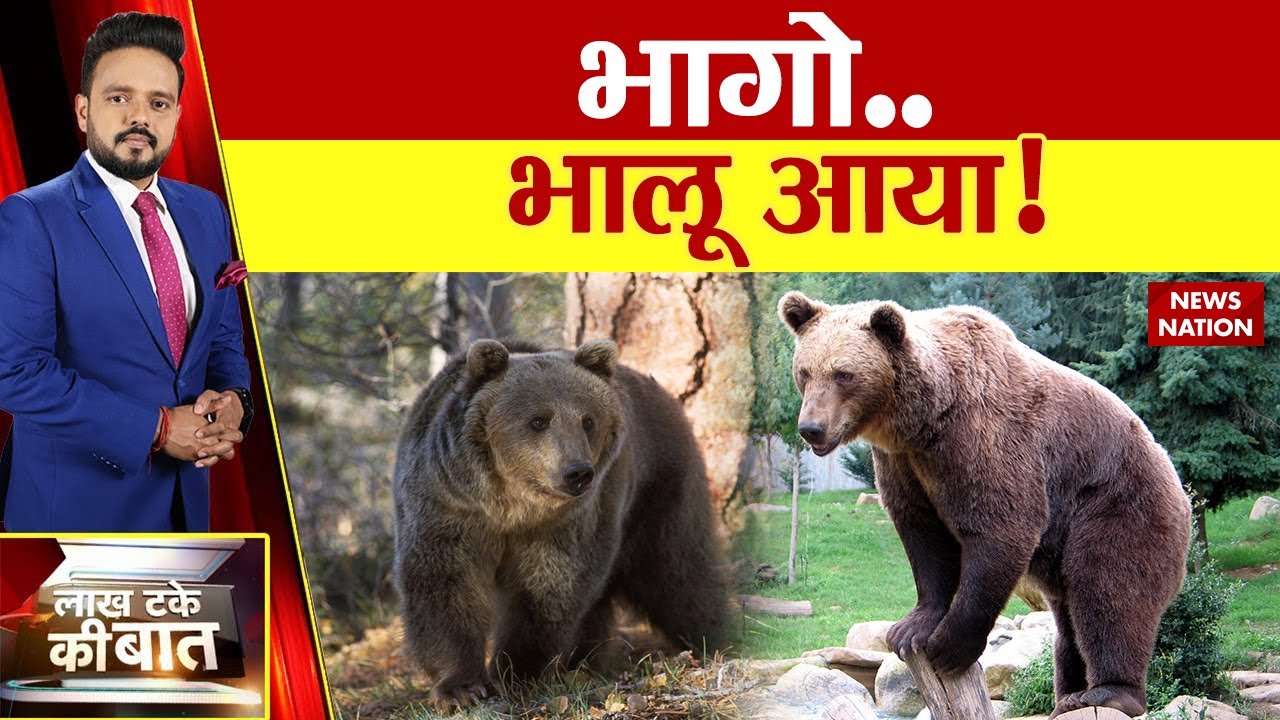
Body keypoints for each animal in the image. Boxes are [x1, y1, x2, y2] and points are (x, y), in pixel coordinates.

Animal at [393, 338, 726, 712]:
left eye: (588, 420)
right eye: (538, 420)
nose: (577, 471)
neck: (512, 506)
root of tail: (665, 396)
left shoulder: (568, 521)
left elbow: (551, 586)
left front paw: (517, 671)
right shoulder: (449, 503)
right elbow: (444, 582)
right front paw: (462, 687)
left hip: (655, 489)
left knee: (675, 571)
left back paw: (716, 635)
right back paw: (585, 661)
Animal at [777, 292, 1191, 719]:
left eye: (844, 374)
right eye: (805, 372)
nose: (811, 428)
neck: (923, 419)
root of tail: (1180, 489)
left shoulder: (983, 438)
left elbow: (1003, 525)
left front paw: (948, 646)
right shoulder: (904, 464)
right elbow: (924, 535)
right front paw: (910, 629)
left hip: (1116, 504)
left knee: (1108, 588)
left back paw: (1108, 692)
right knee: (1068, 617)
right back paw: (1068, 695)